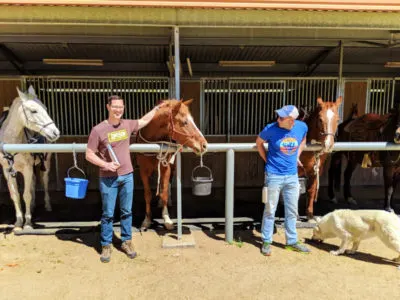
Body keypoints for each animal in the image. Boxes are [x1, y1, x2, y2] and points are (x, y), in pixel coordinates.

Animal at [136, 99, 208, 230]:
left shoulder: (166, 168)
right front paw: (146, 220)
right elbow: (147, 194)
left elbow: (164, 192)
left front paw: (167, 219)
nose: (204, 145)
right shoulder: (143, 171)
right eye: (185, 122)